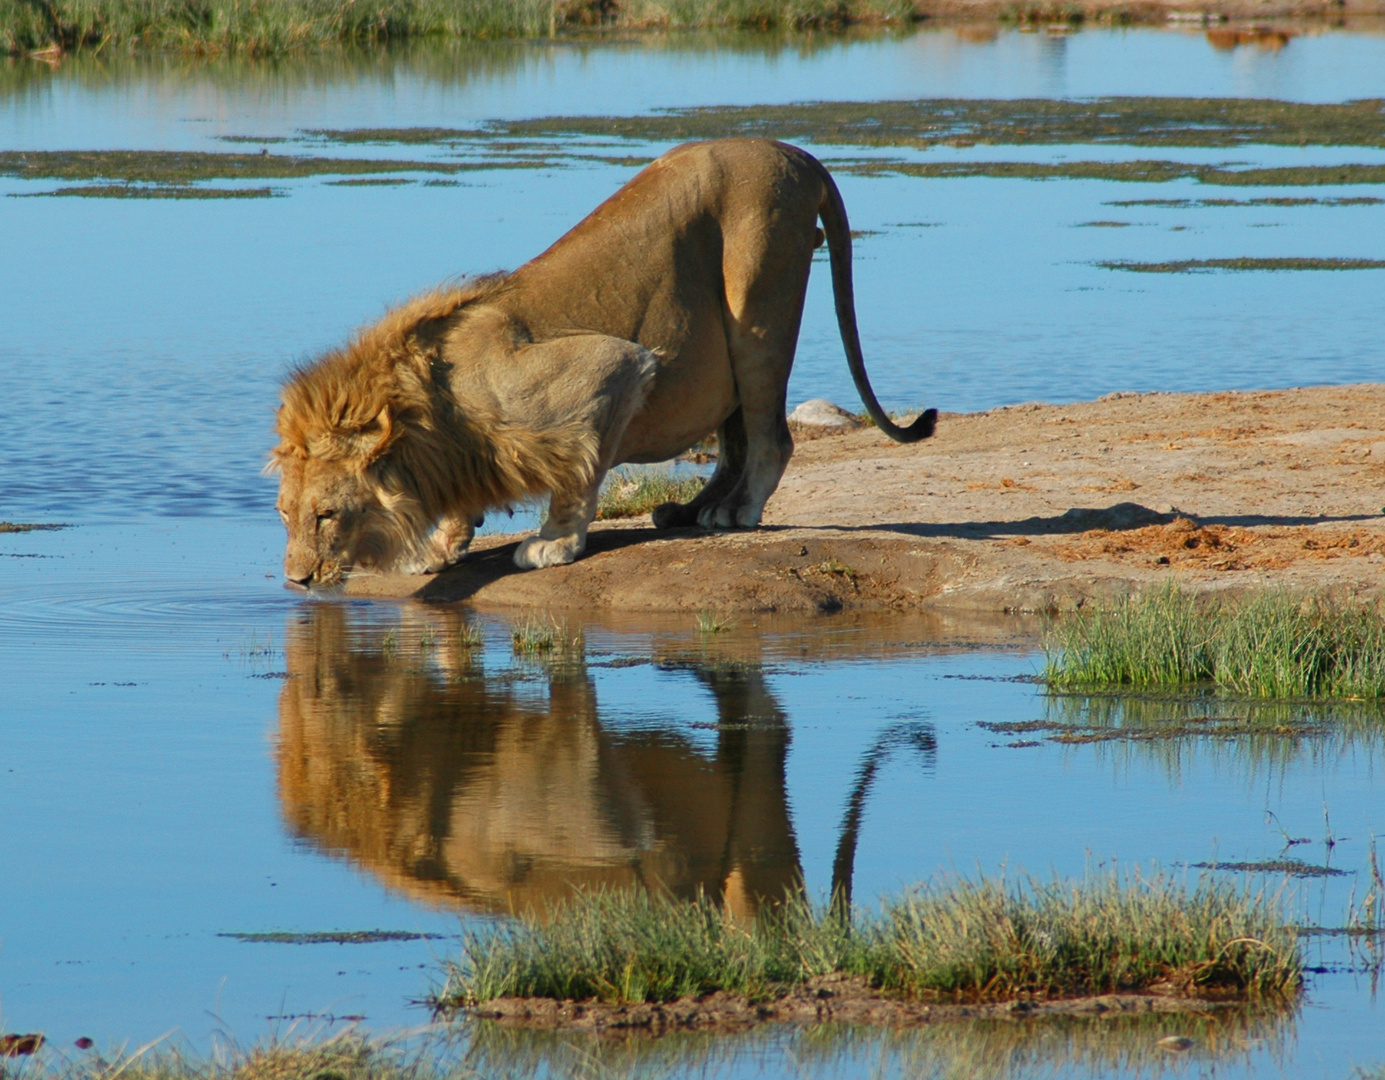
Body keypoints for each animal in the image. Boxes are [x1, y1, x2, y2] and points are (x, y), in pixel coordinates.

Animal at [270, 141, 936, 589]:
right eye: (284, 513)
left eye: (327, 515)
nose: (296, 582)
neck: (430, 406)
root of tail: (798, 155)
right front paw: (441, 546)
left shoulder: (610, 368)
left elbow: (577, 469)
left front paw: (553, 544)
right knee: (736, 441)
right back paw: (688, 512)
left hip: (759, 300)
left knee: (772, 438)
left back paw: (736, 512)